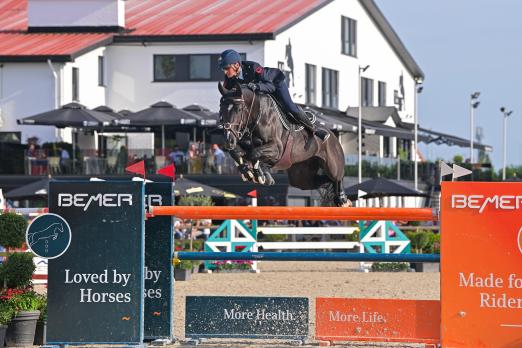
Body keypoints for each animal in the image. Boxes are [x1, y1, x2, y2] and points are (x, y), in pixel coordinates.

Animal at [216, 81, 350, 207]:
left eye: (238, 109)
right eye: (221, 110)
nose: (228, 140)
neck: (257, 116)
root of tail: (333, 135)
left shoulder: (277, 149)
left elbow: (254, 153)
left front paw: (259, 174)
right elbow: (237, 152)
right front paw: (247, 171)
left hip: (332, 165)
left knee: (337, 178)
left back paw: (343, 200)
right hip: (301, 177)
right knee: (323, 180)